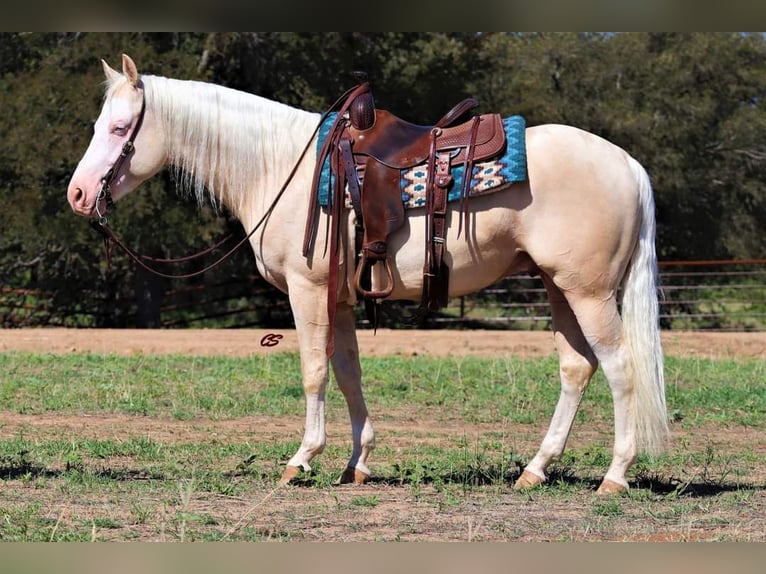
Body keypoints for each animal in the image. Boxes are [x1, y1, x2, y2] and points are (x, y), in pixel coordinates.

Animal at [67, 55, 664, 496]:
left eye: (119, 128)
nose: (78, 194)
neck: (278, 166)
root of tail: (628, 164)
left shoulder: (307, 291)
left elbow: (313, 371)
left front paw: (301, 460)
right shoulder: (339, 298)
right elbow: (348, 372)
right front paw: (357, 462)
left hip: (589, 293)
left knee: (619, 368)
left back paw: (614, 476)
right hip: (558, 287)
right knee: (576, 368)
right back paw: (535, 470)